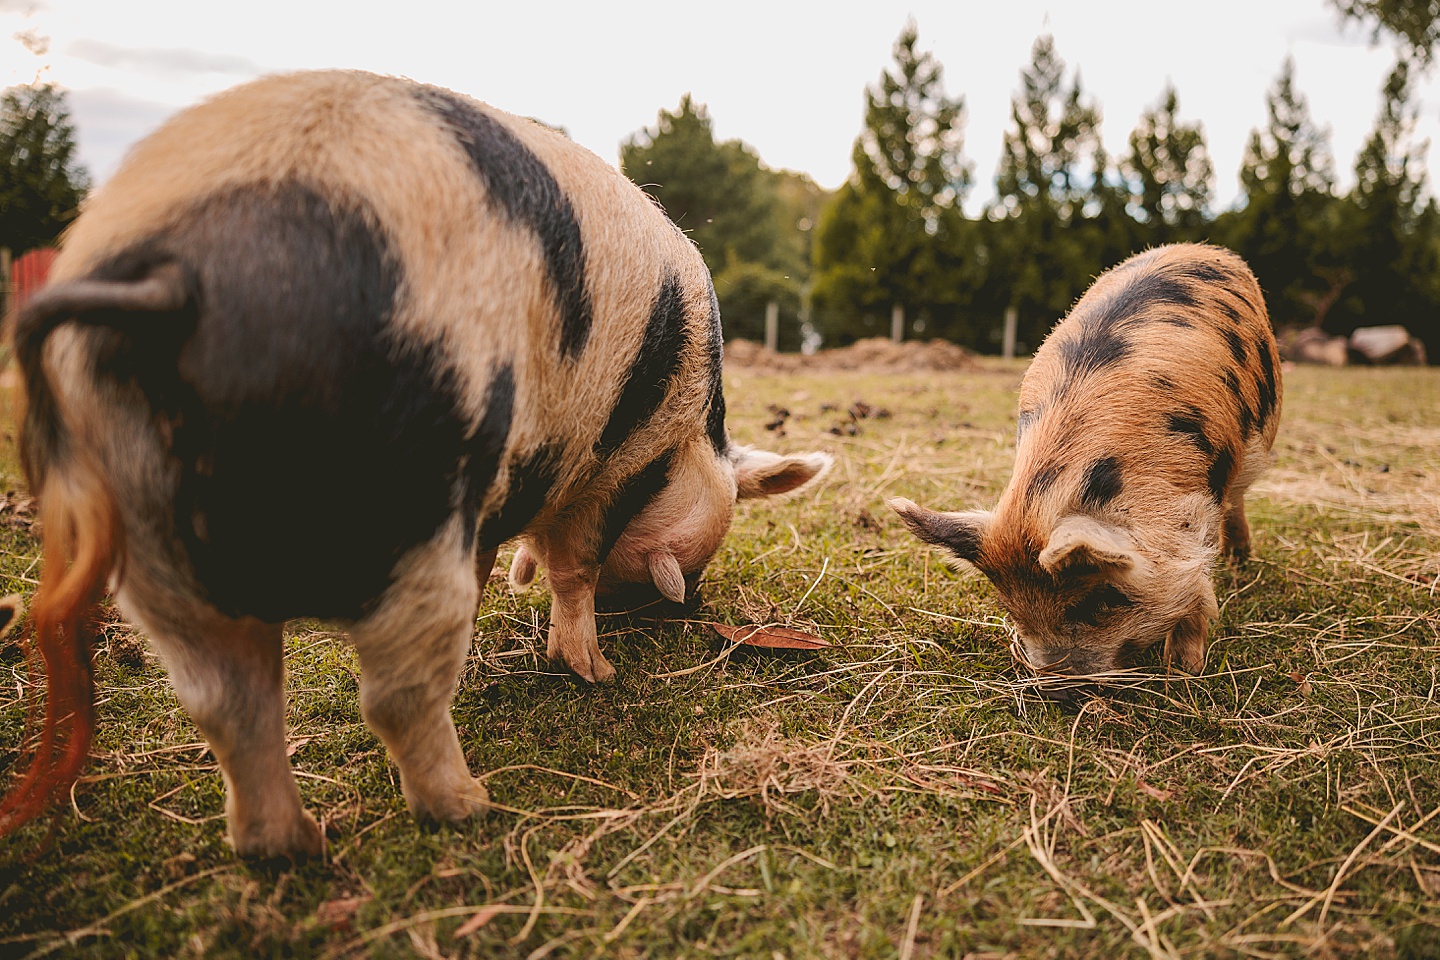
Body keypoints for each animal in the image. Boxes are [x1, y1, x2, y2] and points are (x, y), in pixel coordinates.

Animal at [0, 71, 829, 857]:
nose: (685, 605)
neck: (682, 437)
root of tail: (174, 277)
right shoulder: (607, 470)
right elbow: (575, 569)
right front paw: (596, 673)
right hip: (411, 490)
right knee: (393, 693)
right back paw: (470, 804)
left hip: (141, 523)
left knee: (226, 700)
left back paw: (293, 848)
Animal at [887, 247, 1284, 682]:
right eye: (1010, 606)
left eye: (1099, 601)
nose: (1057, 688)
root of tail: (1201, 248)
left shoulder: (1198, 506)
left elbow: (1197, 576)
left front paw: (1183, 670)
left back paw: (1240, 559)